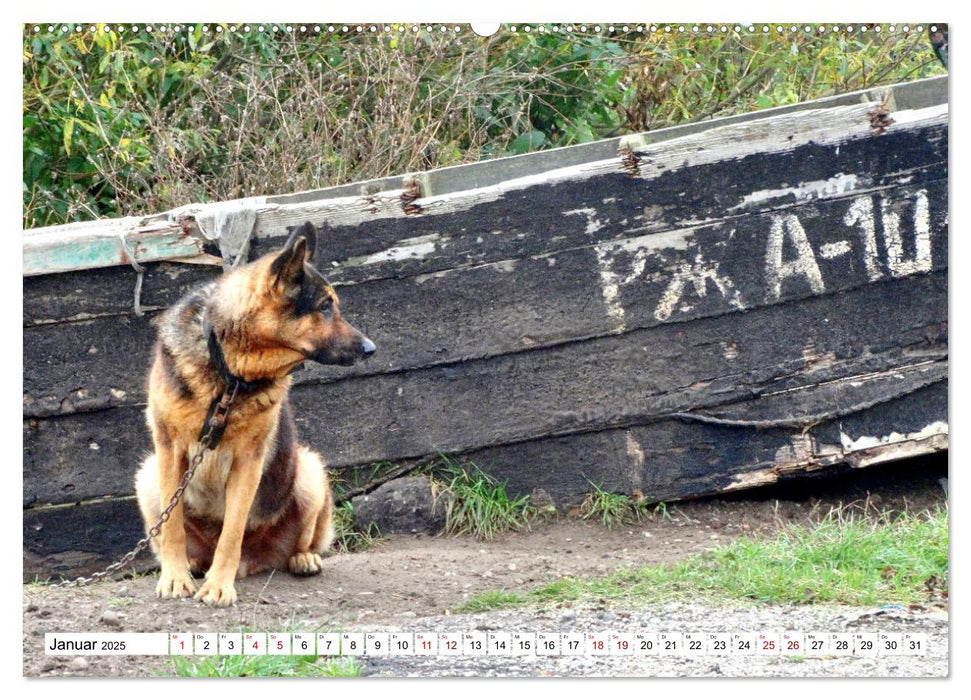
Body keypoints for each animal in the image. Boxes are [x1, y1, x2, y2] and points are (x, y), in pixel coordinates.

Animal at [135, 221, 378, 604]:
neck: (230, 375)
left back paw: (301, 558)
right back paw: (192, 564)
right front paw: (175, 578)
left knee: (301, 542)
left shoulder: (247, 462)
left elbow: (232, 532)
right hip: (148, 476)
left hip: (308, 469)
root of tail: (254, 562)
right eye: (325, 307)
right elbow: (172, 527)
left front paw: (219, 586)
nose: (371, 349)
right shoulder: (168, 450)